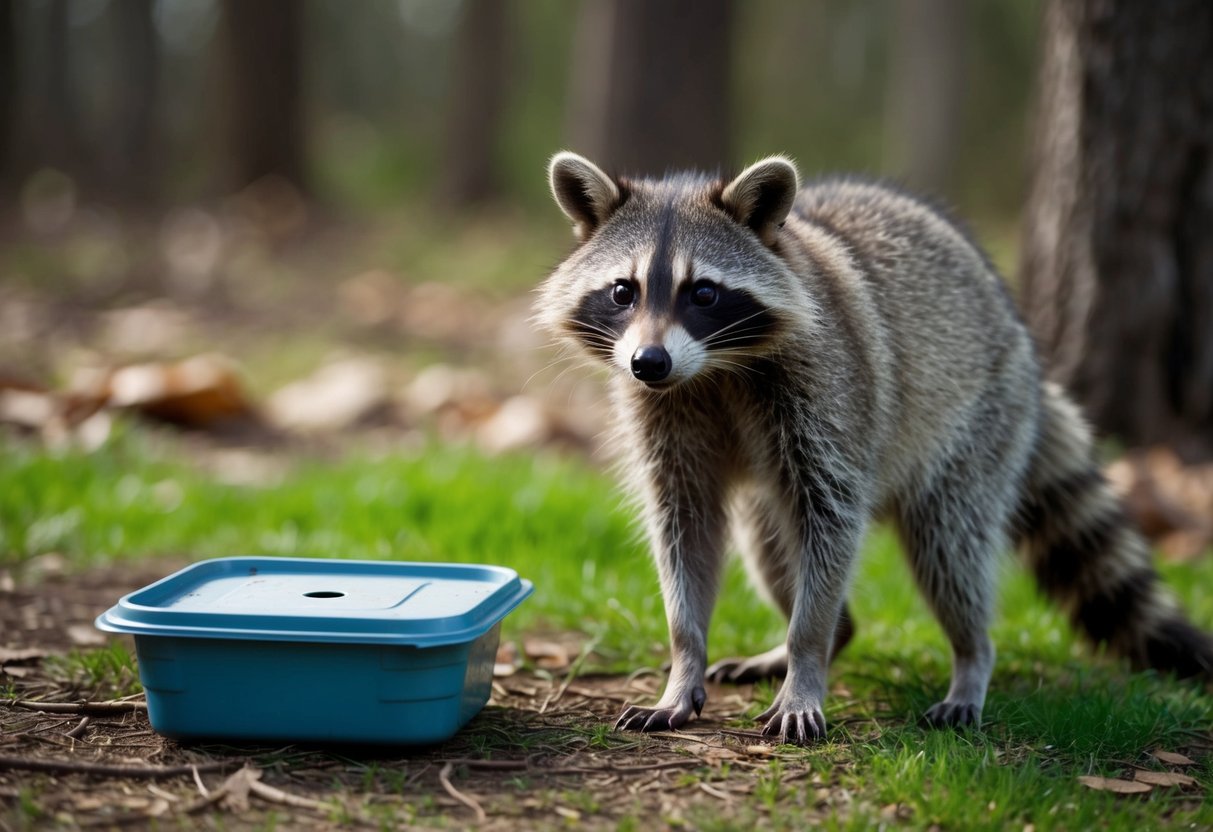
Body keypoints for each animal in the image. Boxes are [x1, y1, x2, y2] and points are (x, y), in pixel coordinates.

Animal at [535, 151, 1213, 744]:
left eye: (703, 293)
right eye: (623, 291)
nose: (649, 362)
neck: (714, 368)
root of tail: (1026, 353)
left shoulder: (831, 396)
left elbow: (832, 519)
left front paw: (807, 656)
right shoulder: (665, 416)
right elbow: (684, 527)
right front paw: (685, 663)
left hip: (980, 426)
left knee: (950, 550)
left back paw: (969, 657)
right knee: (770, 547)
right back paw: (823, 637)